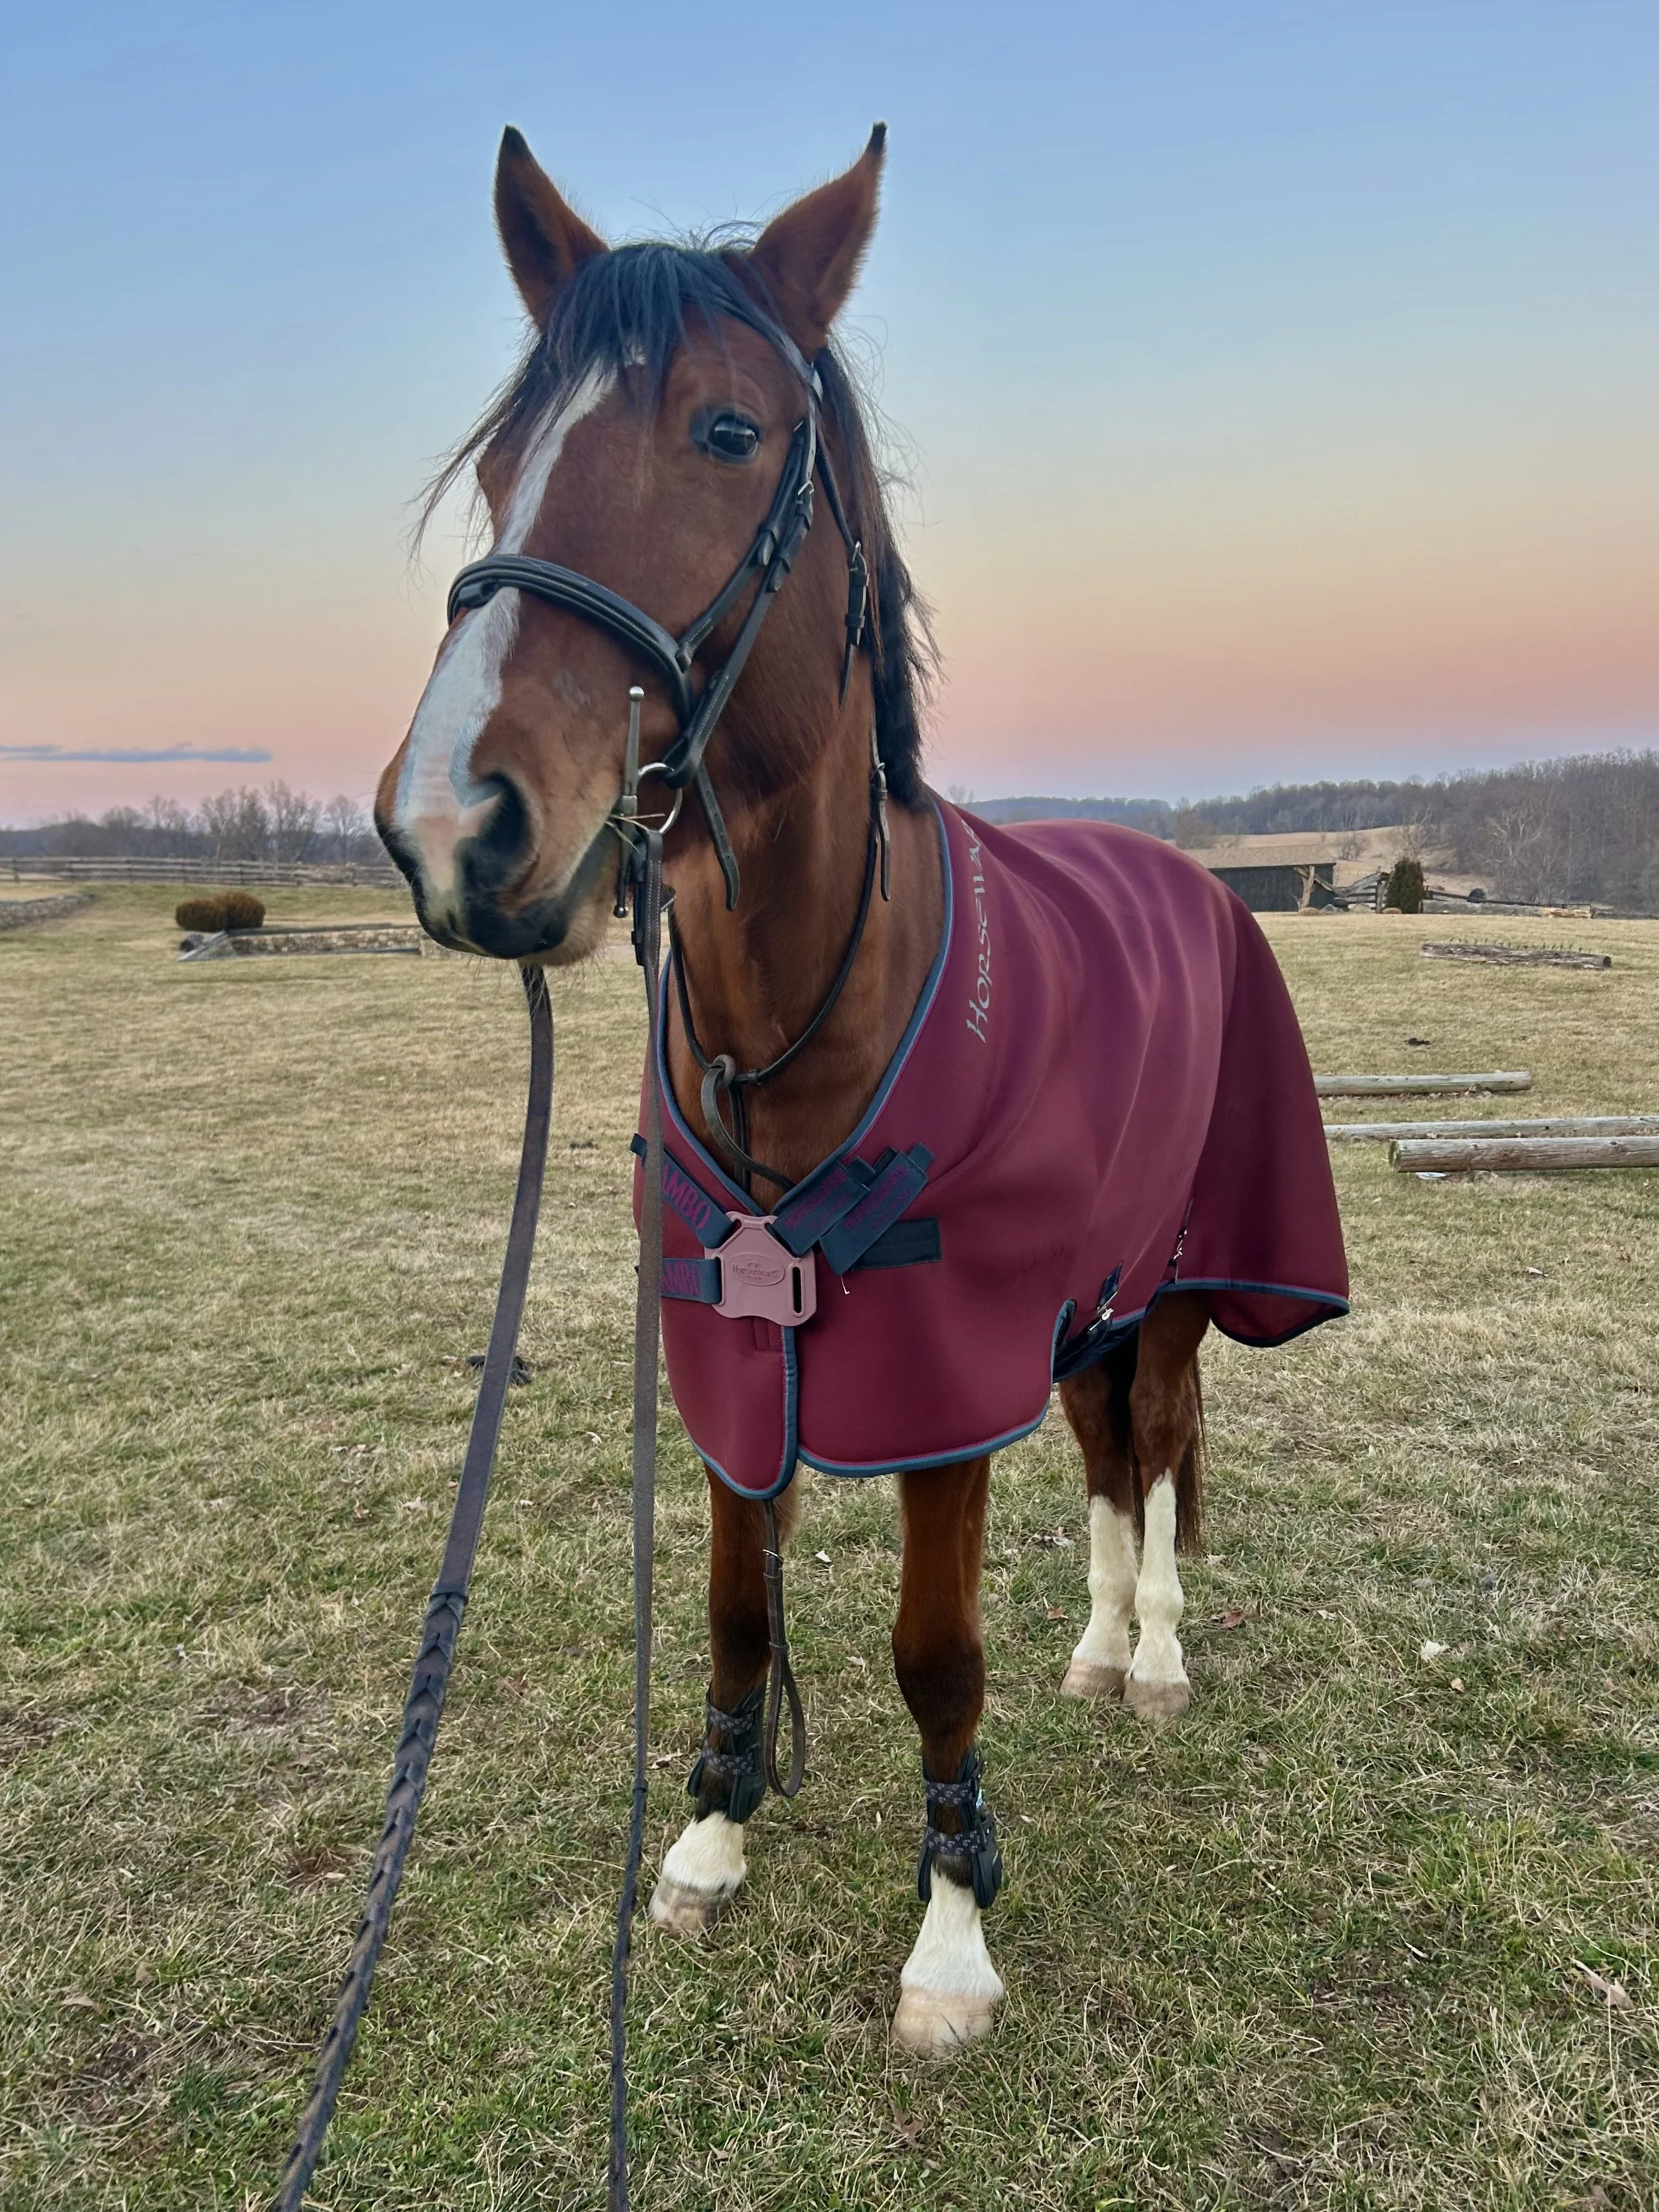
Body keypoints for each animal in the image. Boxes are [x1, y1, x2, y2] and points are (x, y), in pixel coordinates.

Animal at [375, 124, 1349, 2055]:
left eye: (726, 430)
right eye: (504, 462)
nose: (456, 823)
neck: (796, 1019)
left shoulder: (940, 1381)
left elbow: (931, 1655)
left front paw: (951, 1934)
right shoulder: (740, 1349)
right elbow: (736, 1614)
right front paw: (706, 1837)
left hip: (1176, 1282)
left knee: (1163, 1436)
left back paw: (1156, 1649)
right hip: (1089, 1302)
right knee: (1111, 1449)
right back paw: (1099, 1644)